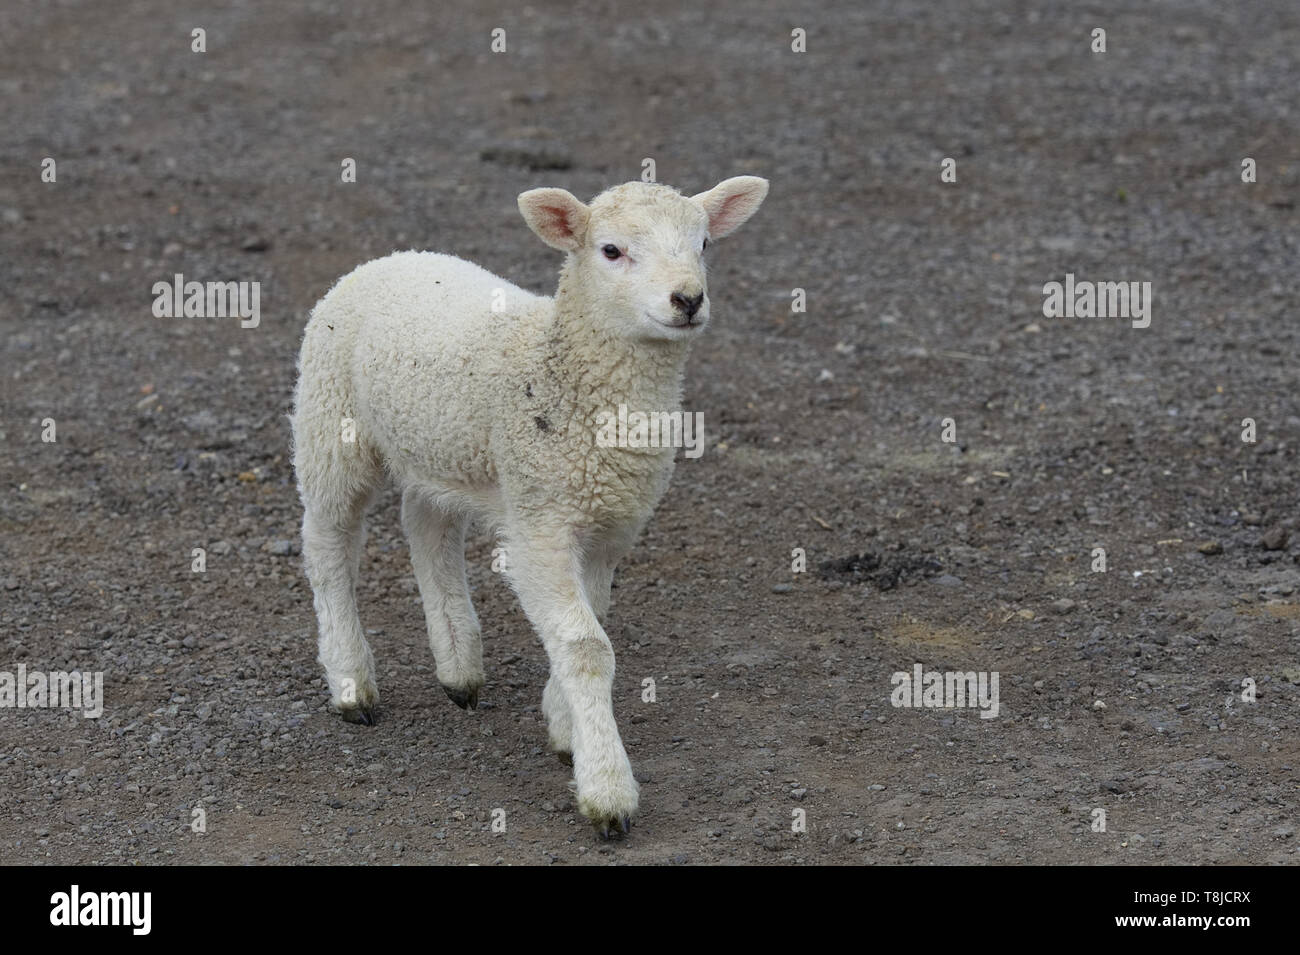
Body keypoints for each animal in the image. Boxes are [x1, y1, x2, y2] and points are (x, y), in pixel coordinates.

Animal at [289, 175, 764, 831]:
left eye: (704, 244)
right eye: (611, 250)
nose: (688, 300)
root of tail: (394, 256)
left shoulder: (611, 524)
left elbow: (591, 622)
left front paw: (565, 727)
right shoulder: (541, 517)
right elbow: (588, 646)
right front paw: (607, 790)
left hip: (444, 449)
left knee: (427, 525)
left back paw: (458, 667)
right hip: (330, 420)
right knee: (329, 543)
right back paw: (352, 683)